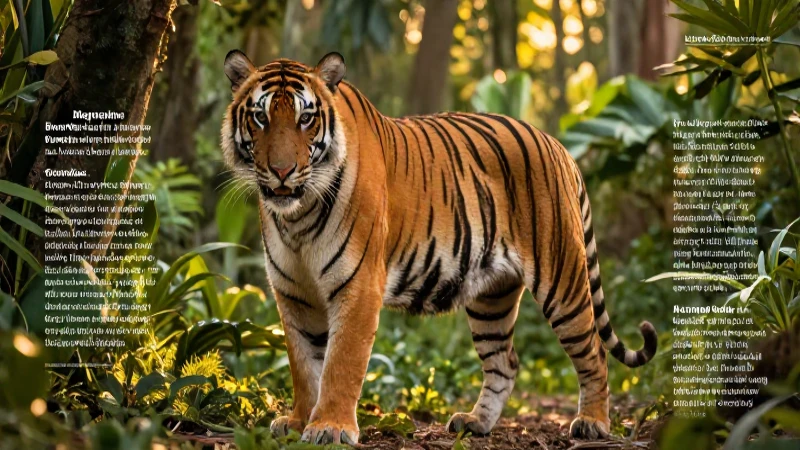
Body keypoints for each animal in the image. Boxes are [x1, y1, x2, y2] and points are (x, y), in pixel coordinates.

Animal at [221, 50, 658, 445]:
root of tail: (559, 145)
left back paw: (593, 423)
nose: (282, 171)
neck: (297, 218)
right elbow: (302, 364)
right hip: (491, 297)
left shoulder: (358, 287)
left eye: (305, 118)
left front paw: (330, 427)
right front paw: (298, 422)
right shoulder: (293, 292)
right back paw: (476, 422)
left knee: (593, 351)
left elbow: (340, 363)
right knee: (505, 362)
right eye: (260, 117)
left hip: (562, 279)